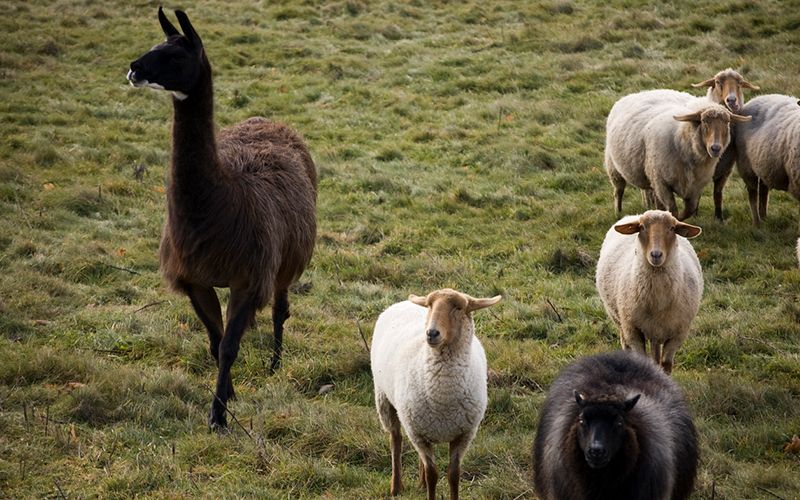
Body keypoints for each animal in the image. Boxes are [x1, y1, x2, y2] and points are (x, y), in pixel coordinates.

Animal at [370, 290, 500, 500]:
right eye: (430, 305)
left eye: (459, 307)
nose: (431, 333)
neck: (442, 398)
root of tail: (403, 303)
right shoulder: (416, 433)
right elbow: (433, 474)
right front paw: (427, 486)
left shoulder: (463, 434)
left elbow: (453, 474)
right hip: (384, 400)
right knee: (395, 440)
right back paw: (396, 487)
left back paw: (420, 484)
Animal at [592, 209, 700, 374]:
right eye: (642, 227)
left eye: (672, 228)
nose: (656, 255)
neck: (658, 302)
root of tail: (632, 215)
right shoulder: (633, 330)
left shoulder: (678, 333)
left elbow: (666, 365)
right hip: (620, 320)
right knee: (626, 345)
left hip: (657, 331)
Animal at [608, 88, 752, 221]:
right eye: (704, 121)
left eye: (727, 122)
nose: (715, 148)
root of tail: (642, 92)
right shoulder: (661, 183)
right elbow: (673, 210)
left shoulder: (694, 187)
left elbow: (689, 209)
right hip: (614, 167)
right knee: (618, 191)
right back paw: (618, 213)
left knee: (647, 192)